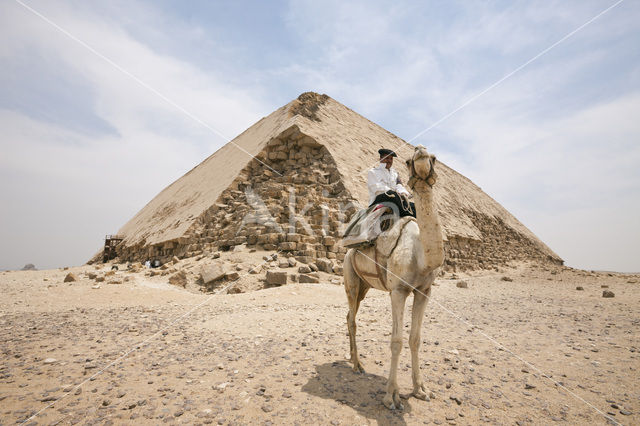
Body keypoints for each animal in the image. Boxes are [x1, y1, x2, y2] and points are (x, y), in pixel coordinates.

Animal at [342, 146, 442, 410]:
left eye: (434, 157)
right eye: (408, 161)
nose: (420, 152)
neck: (421, 254)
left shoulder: (424, 291)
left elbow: (415, 338)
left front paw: (421, 390)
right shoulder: (398, 290)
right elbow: (396, 340)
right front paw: (392, 396)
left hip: (365, 286)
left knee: (349, 315)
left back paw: (352, 359)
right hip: (350, 277)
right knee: (352, 318)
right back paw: (357, 365)